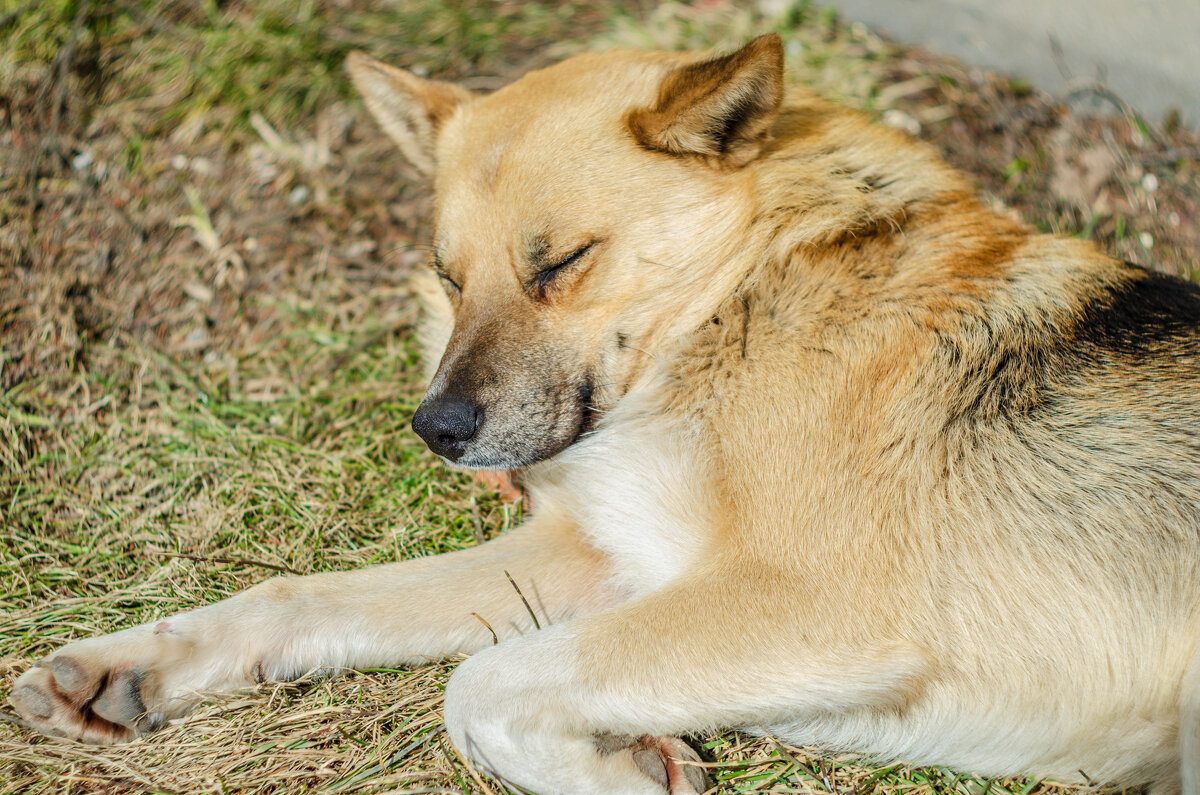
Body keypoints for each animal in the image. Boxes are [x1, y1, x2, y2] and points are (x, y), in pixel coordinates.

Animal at [9, 32, 1200, 795]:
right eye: (447, 276)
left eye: (562, 263)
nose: (438, 432)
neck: (732, 298)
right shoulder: (601, 559)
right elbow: (306, 597)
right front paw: (137, 664)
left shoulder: (813, 603)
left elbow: (479, 685)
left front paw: (619, 769)